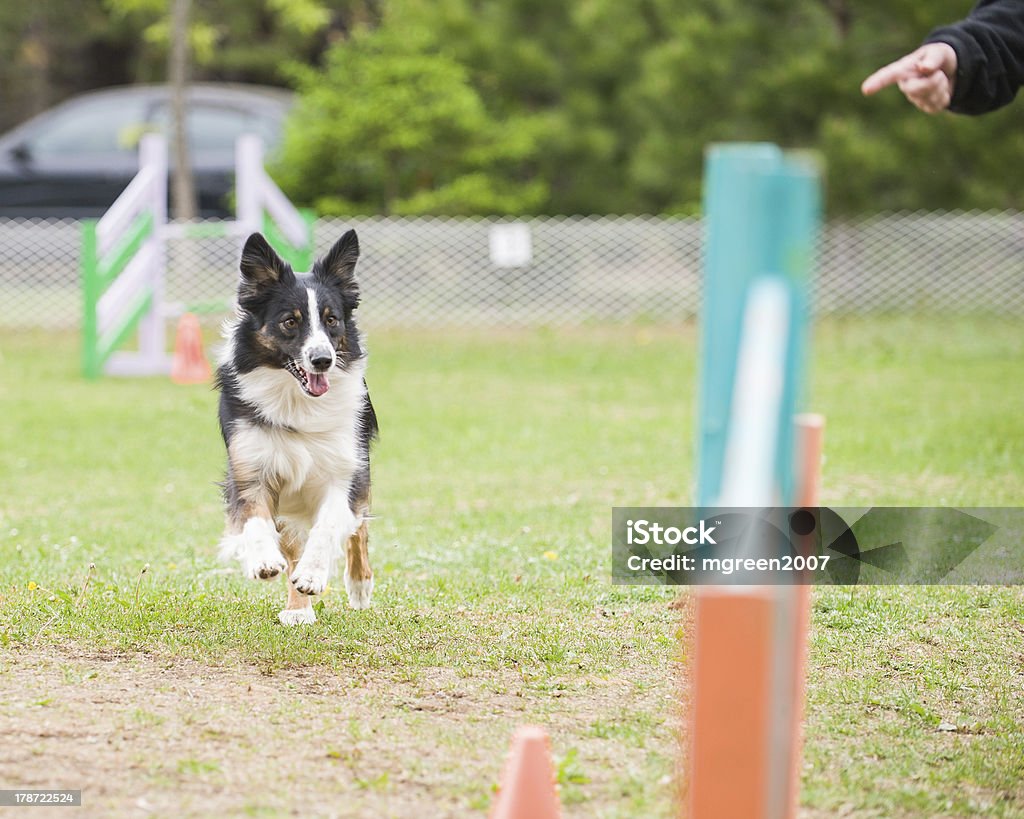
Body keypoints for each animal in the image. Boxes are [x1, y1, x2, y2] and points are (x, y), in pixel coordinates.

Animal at [218, 232, 378, 626]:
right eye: (290, 322)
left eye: (332, 320)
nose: (323, 360)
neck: (297, 400)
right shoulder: (250, 469)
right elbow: (256, 519)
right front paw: (263, 559)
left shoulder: (343, 470)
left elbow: (329, 526)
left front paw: (312, 575)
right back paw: (297, 609)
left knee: (358, 528)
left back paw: (359, 586)